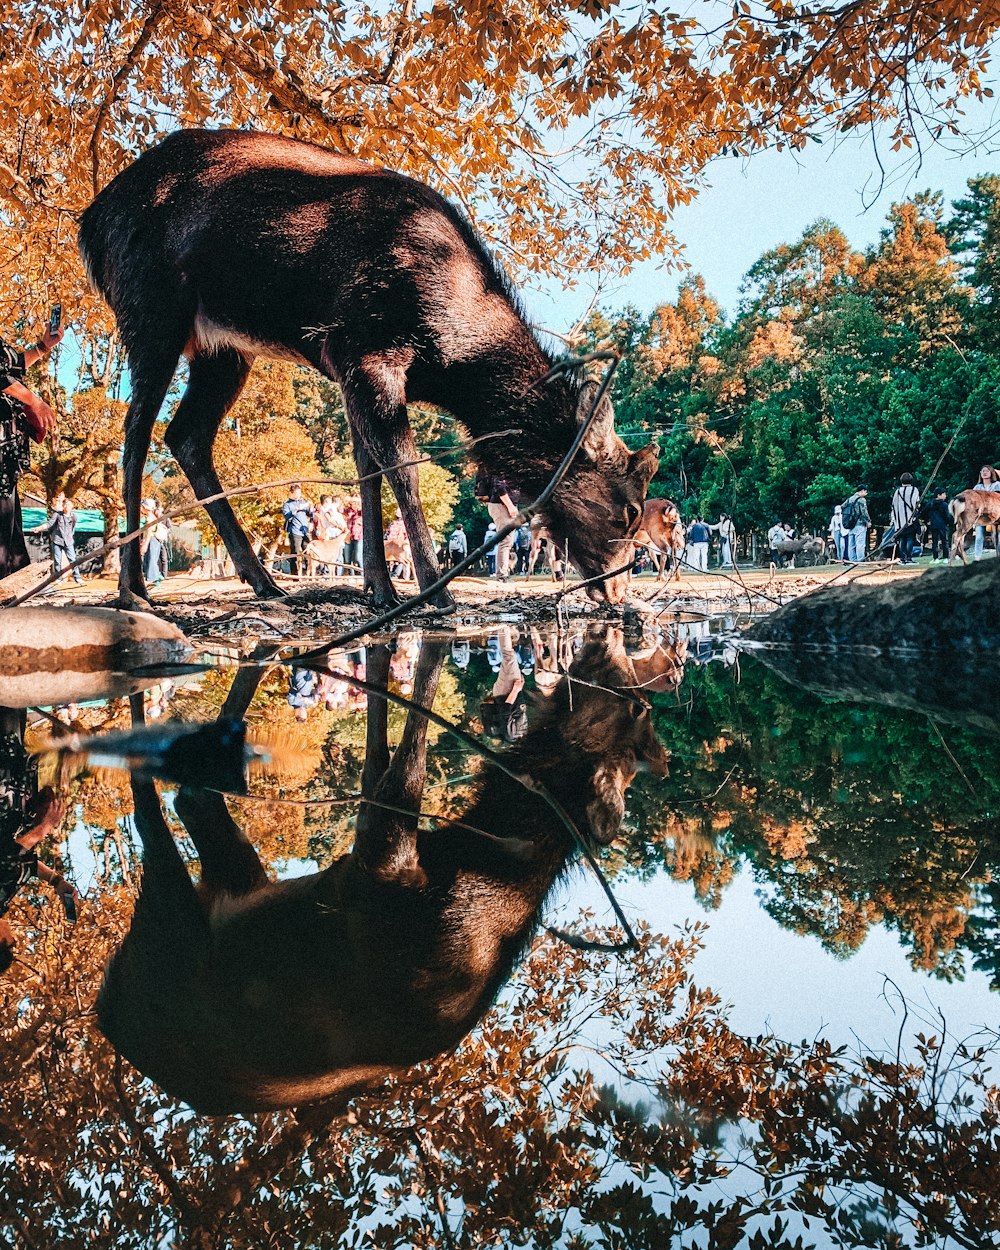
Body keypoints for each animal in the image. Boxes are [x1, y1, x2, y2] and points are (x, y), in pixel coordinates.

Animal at [78, 130, 655, 610]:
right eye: (629, 509)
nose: (621, 591)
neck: (449, 354)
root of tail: (92, 222)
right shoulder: (368, 351)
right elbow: (401, 466)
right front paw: (434, 590)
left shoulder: (350, 370)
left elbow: (366, 468)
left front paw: (379, 587)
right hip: (150, 307)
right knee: (134, 433)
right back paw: (133, 587)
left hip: (223, 349)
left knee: (186, 435)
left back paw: (263, 581)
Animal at [97, 630, 670, 1110]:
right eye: (641, 708)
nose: (610, 636)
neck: (482, 851)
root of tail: (106, 1014)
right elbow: (382, 750)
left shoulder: (380, 856)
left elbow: (408, 757)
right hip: (233, 885)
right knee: (195, 795)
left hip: (172, 930)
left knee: (161, 806)